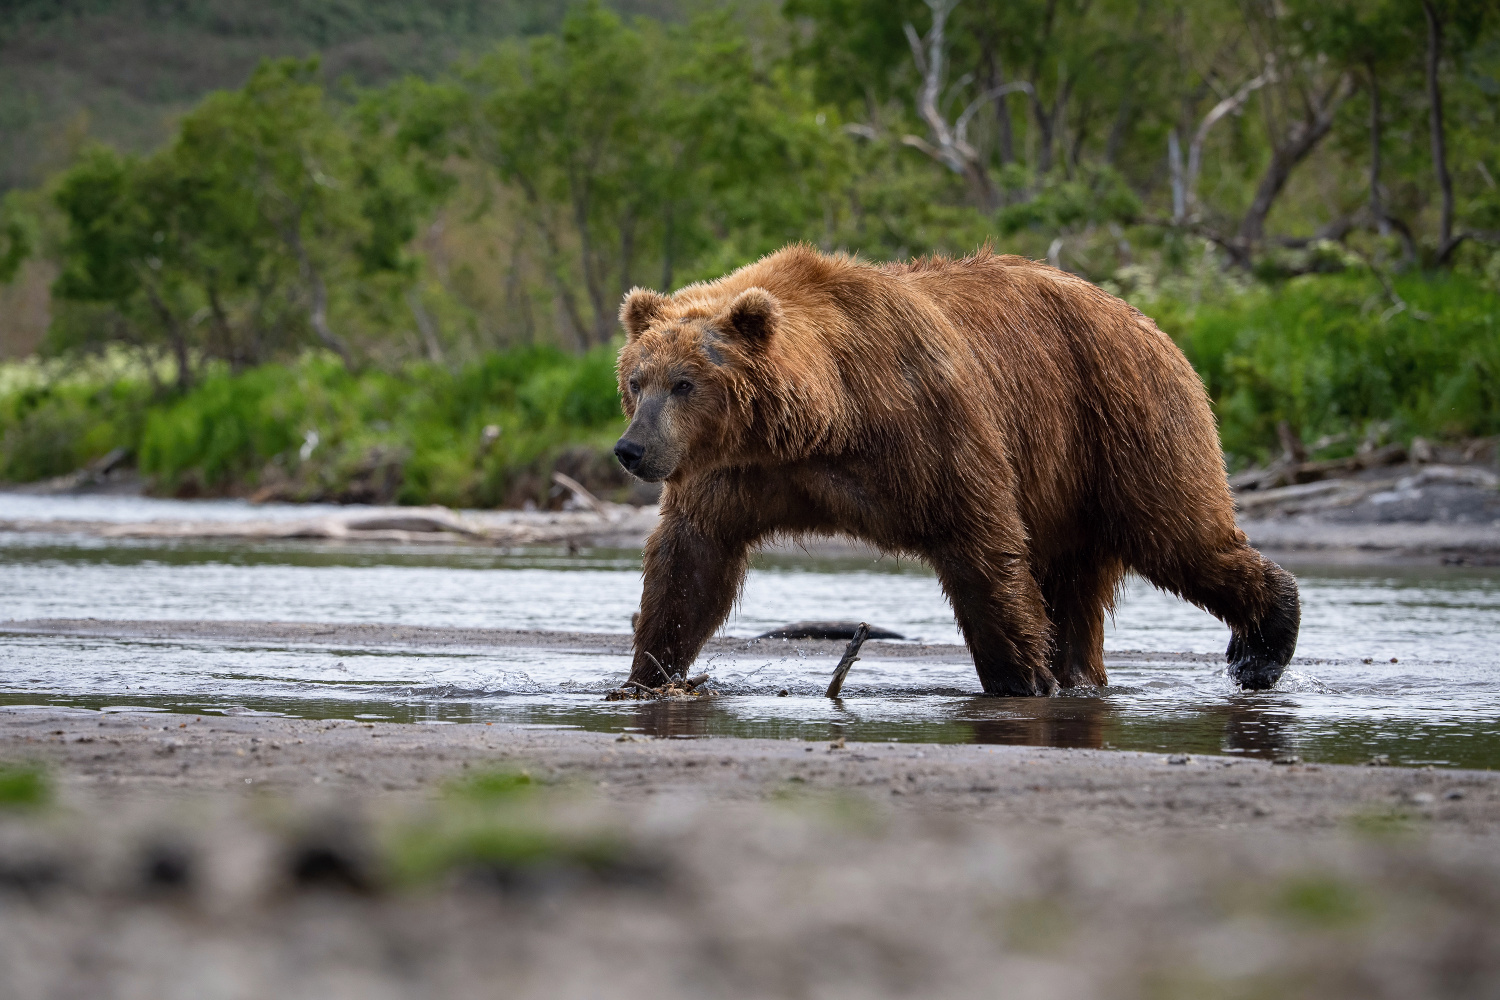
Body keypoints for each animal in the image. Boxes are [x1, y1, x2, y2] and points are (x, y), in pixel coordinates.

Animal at [609, 248, 1302, 695]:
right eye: (636, 380)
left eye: (684, 383)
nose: (631, 449)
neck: (825, 422)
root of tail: (1144, 319)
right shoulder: (738, 472)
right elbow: (692, 561)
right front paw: (649, 674)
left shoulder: (928, 430)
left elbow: (980, 545)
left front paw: (1021, 678)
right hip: (1071, 479)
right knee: (1079, 581)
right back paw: (1083, 676)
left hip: (1124, 421)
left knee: (1179, 536)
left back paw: (1261, 649)